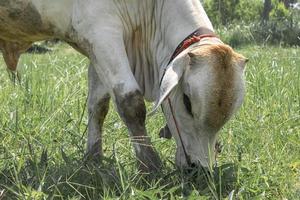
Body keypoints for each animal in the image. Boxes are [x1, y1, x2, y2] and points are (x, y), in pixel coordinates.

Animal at [0, 0, 247, 172]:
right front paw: (150, 165)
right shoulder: (102, 34)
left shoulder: (97, 49)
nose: (200, 170)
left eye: (230, 115)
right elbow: (131, 103)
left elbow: (98, 106)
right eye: (187, 102)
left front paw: (94, 158)